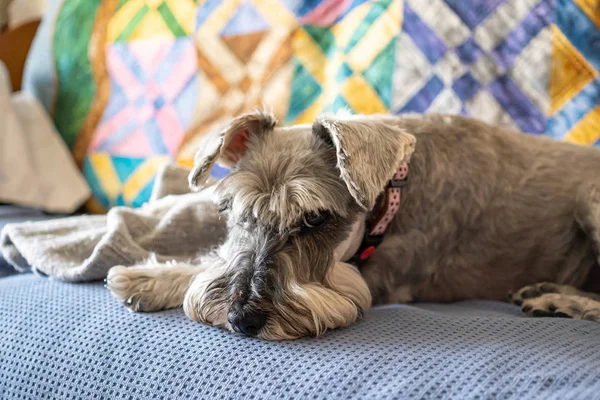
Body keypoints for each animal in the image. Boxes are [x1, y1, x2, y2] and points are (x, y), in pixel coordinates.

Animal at [105, 109, 600, 340]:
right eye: (229, 209)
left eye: (315, 217)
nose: (241, 318)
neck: (394, 189)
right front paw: (150, 277)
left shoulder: (379, 278)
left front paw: (145, 278)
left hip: (591, 201)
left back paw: (559, 301)